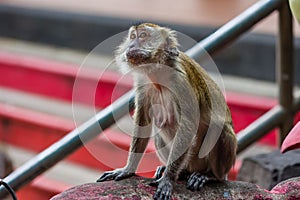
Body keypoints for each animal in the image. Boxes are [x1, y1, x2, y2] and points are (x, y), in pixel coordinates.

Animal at [97, 23, 238, 200]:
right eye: (132, 36)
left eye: (142, 36)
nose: (131, 45)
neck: (158, 73)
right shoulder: (143, 83)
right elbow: (143, 121)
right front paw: (128, 169)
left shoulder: (181, 83)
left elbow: (188, 126)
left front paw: (167, 180)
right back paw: (179, 171)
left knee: (218, 128)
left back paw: (209, 176)